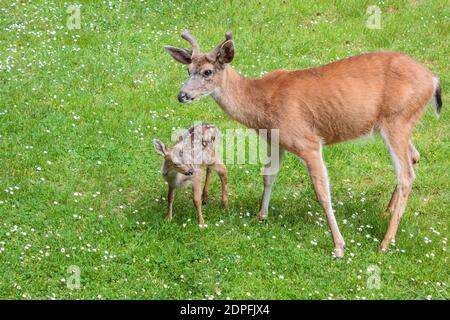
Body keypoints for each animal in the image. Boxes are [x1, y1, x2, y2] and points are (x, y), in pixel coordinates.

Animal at [164, 31, 442, 258]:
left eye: (207, 72)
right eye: (188, 70)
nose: (181, 95)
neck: (262, 104)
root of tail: (433, 78)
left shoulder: (307, 142)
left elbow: (322, 192)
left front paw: (339, 247)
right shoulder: (275, 140)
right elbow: (268, 176)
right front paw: (261, 216)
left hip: (397, 120)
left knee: (407, 174)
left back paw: (385, 242)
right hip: (401, 123)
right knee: (414, 156)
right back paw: (386, 211)